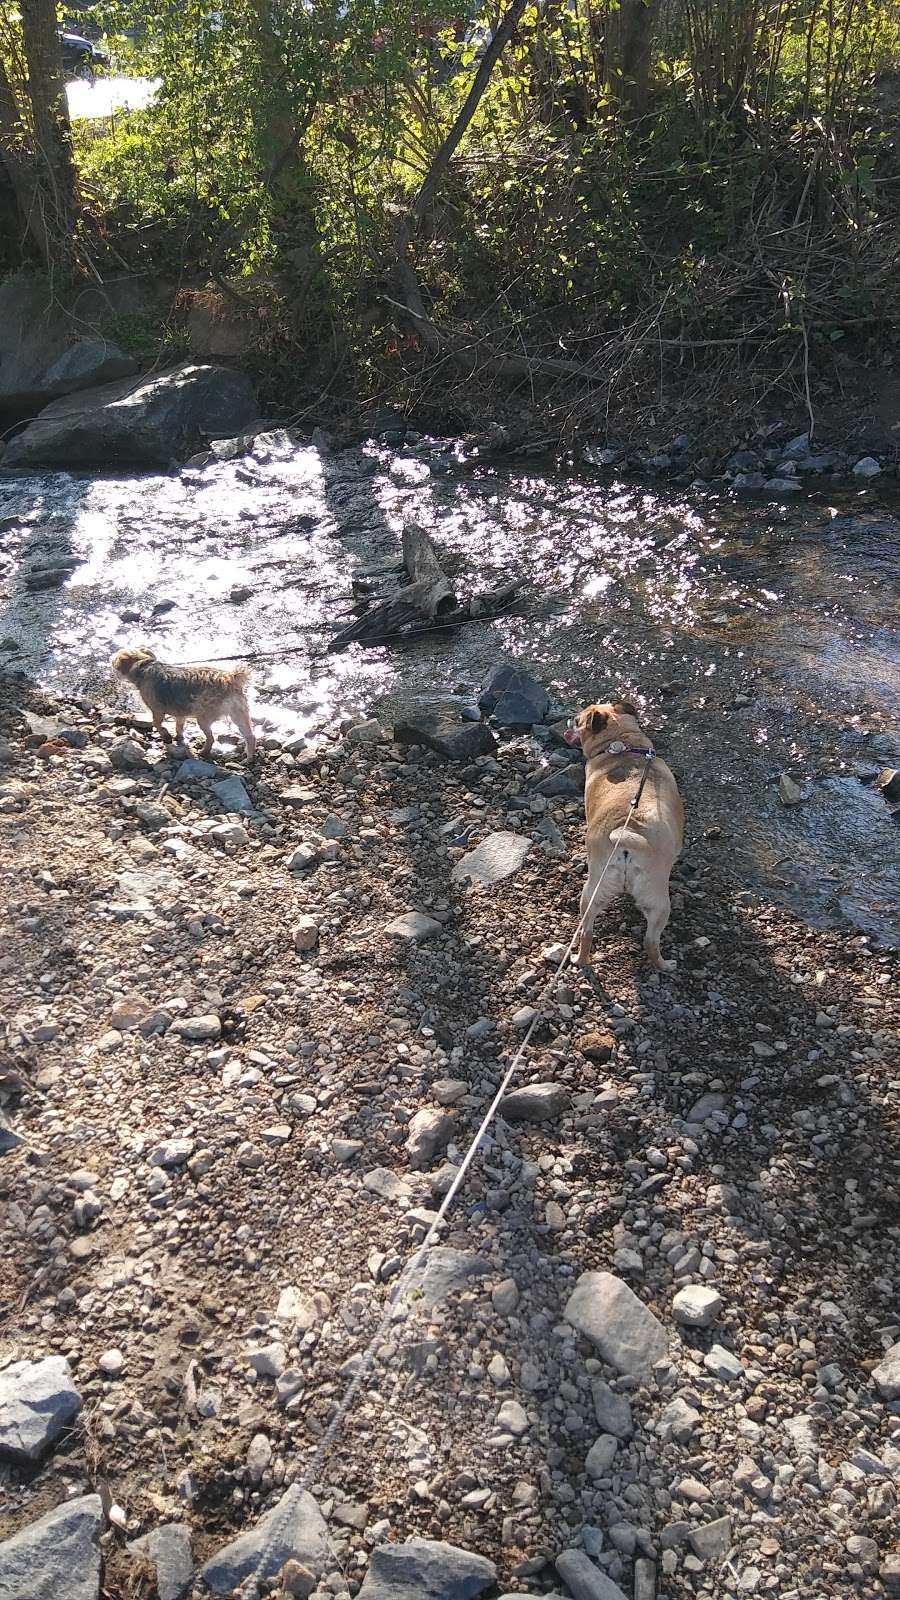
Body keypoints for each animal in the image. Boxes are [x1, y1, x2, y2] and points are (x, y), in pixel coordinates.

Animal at [111, 646, 256, 758]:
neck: (143, 665)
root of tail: (231, 679)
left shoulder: (157, 710)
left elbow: (156, 723)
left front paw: (166, 735)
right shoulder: (180, 713)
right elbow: (179, 726)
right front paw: (179, 737)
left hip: (203, 717)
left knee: (211, 738)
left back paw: (203, 752)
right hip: (239, 713)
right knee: (250, 736)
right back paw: (249, 757)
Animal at [563, 704, 682, 972]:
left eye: (577, 721)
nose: (568, 721)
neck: (621, 745)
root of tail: (627, 838)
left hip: (592, 894)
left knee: (587, 932)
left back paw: (580, 961)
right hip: (658, 901)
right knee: (651, 941)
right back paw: (665, 966)